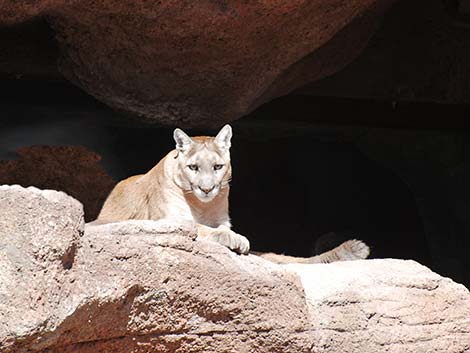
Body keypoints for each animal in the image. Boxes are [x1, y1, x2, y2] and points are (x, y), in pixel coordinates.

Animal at [95, 125, 370, 262]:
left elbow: (218, 227)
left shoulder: (222, 219)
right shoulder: (171, 221)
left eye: (217, 167)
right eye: (193, 167)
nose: (207, 188)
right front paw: (235, 239)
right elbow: (201, 228)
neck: (202, 205)